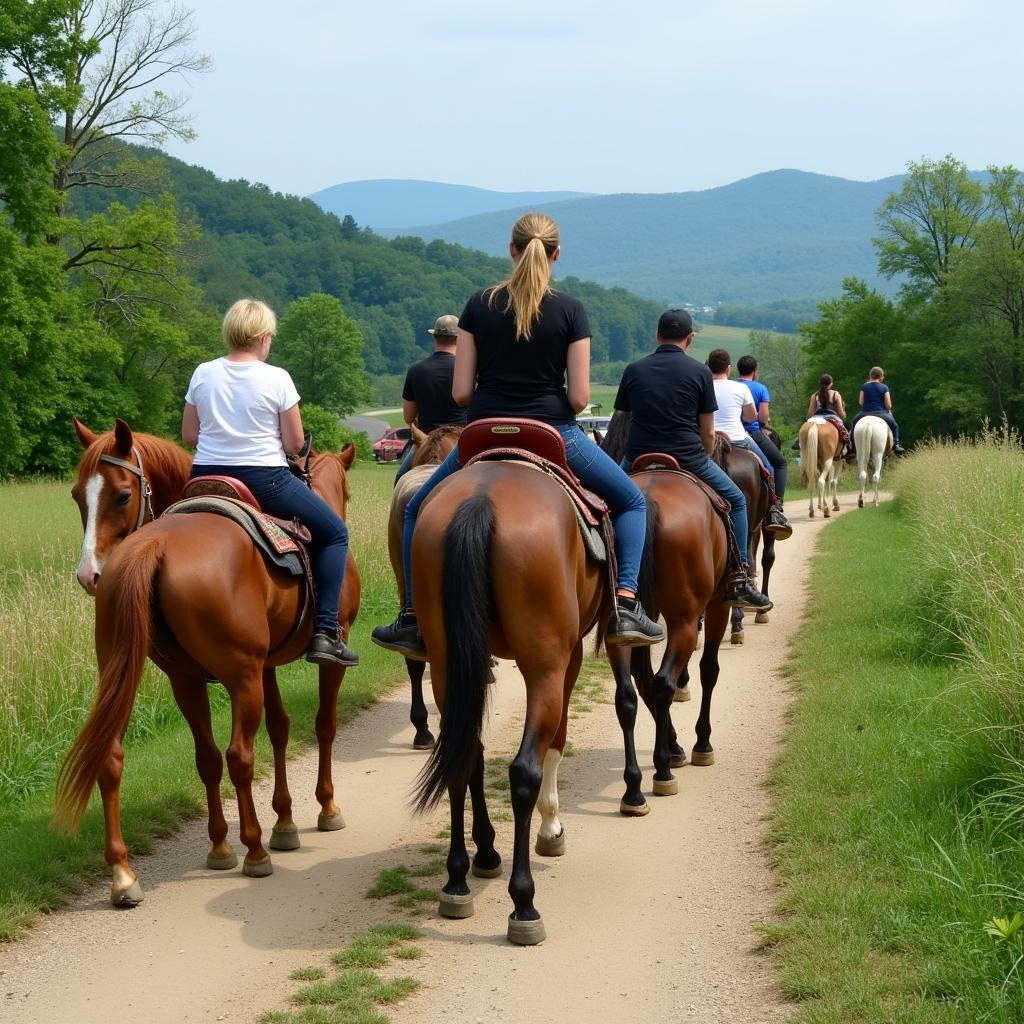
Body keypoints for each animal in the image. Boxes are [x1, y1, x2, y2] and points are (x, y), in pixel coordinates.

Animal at [59, 415, 362, 905]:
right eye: (77, 496)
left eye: (120, 495)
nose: (89, 575)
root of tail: (154, 546)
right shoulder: (322, 655)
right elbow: (323, 725)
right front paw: (324, 807)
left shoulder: (264, 665)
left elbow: (280, 728)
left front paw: (284, 821)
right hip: (240, 677)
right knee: (239, 755)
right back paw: (254, 852)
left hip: (170, 677)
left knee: (169, 756)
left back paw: (149, 867)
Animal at [409, 452, 606, 946]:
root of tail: (481, 501)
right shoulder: (569, 659)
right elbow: (556, 742)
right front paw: (551, 830)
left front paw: (483, 852)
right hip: (544, 666)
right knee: (523, 770)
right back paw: (524, 903)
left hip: (447, 662)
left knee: (462, 754)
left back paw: (460, 877)